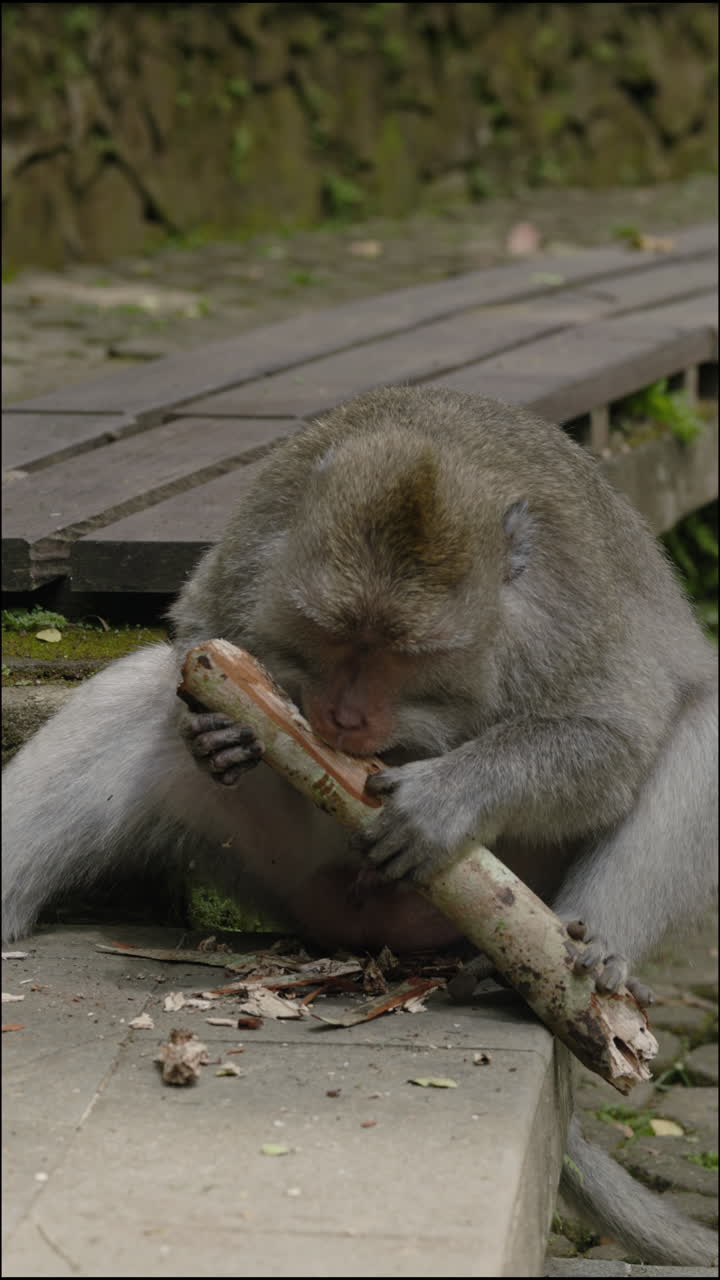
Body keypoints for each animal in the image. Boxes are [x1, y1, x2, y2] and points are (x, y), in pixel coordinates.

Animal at [2, 385, 717, 1265]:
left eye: (406, 656)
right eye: (335, 634)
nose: (344, 716)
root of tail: (381, 935)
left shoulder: (565, 613)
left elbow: (612, 736)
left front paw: (447, 797)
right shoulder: (258, 552)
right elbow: (197, 629)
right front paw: (222, 731)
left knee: (699, 729)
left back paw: (587, 960)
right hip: (277, 866)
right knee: (141, 692)